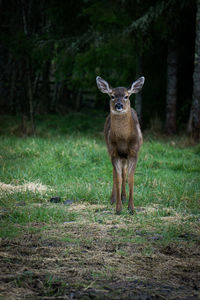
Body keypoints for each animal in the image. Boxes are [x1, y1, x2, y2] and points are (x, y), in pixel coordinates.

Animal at [96, 76, 145, 214]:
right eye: (112, 96)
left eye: (126, 96)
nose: (119, 105)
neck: (123, 140)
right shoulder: (114, 153)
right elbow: (117, 178)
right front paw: (118, 208)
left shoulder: (134, 152)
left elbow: (131, 178)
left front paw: (131, 208)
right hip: (111, 150)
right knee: (116, 173)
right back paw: (114, 198)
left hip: (125, 156)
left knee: (124, 173)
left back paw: (124, 197)